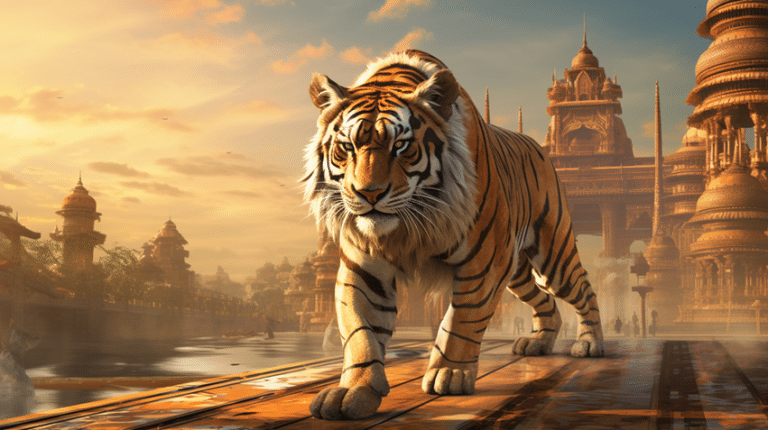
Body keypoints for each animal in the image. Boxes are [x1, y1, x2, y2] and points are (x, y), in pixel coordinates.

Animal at [303, 49, 604, 420]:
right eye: (347, 147)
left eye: (401, 146)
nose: (368, 193)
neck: (407, 226)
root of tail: (539, 147)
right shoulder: (364, 268)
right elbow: (361, 333)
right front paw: (353, 391)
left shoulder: (485, 262)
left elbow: (463, 318)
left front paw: (450, 372)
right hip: (517, 272)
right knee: (545, 301)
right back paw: (538, 343)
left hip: (552, 258)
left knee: (583, 289)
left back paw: (591, 343)